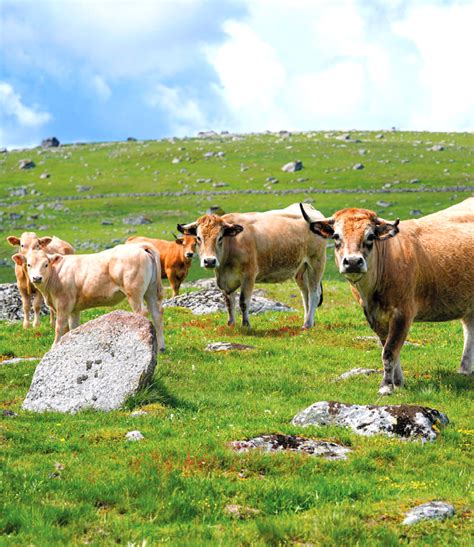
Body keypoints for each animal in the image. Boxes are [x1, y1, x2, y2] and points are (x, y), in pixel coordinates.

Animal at [13, 245, 165, 352]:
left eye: (46, 264)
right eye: (29, 264)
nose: (37, 278)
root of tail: (140, 246)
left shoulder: (63, 304)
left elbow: (59, 327)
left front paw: (54, 346)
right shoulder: (74, 309)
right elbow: (71, 328)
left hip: (134, 292)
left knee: (142, 313)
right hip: (150, 291)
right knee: (156, 314)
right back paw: (160, 348)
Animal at [178, 202, 326, 328]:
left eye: (220, 238)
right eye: (198, 238)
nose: (209, 261)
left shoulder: (249, 275)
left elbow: (243, 301)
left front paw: (246, 325)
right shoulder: (225, 281)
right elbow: (228, 302)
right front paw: (231, 324)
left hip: (316, 262)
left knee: (314, 294)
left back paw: (307, 324)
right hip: (301, 269)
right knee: (305, 294)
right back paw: (308, 321)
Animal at [302, 199, 474, 396]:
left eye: (370, 236)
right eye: (337, 236)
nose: (353, 262)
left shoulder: (403, 313)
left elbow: (390, 351)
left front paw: (385, 386)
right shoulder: (375, 317)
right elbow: (389, 348)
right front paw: (397, 382)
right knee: (469, 329)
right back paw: (464, 369)